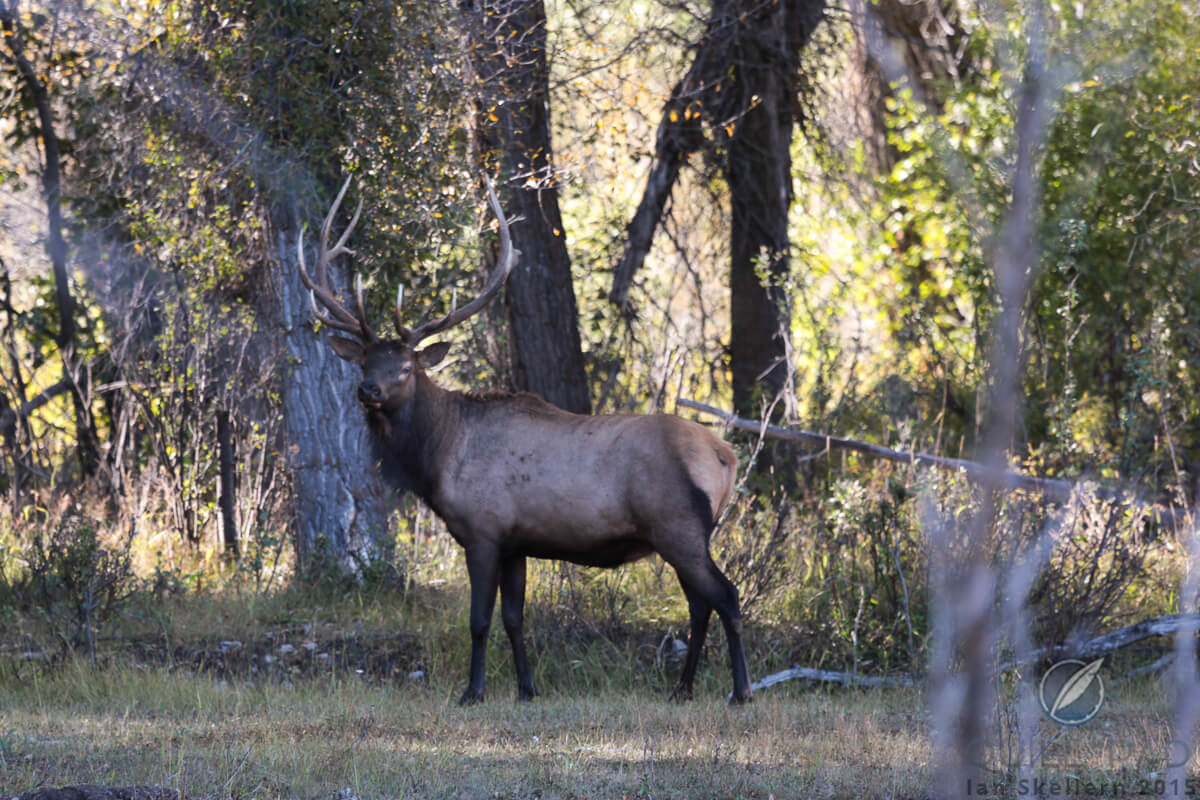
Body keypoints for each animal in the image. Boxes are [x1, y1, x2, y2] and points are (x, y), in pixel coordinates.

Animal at [298, 177, 752, 705]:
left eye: (406, 367)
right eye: (365, 362)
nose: (367, 390)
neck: (437, 456)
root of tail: (725, 457)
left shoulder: (483, 530)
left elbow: (478, 621)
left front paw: (472, 692)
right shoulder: (516, 542)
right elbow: (515, 619)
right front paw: (526, 688)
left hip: (678, 525)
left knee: (725, 596)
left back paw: (741, 691)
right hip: (683, 533)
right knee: (700, 604)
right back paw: (682, 688)